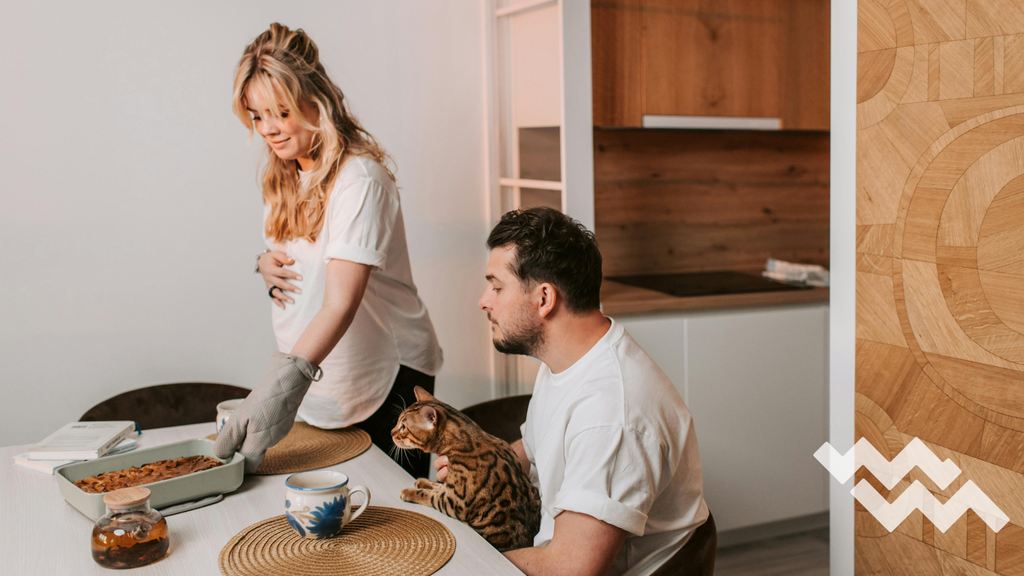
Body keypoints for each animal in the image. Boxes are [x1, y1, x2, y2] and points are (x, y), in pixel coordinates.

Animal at [387, 383, 540, 549]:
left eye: (403, 427)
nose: (391, 432)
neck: (467, 441)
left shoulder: (454, 503)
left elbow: (428, 495)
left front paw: (410, 492)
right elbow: (440, 486)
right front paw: (424, 482)